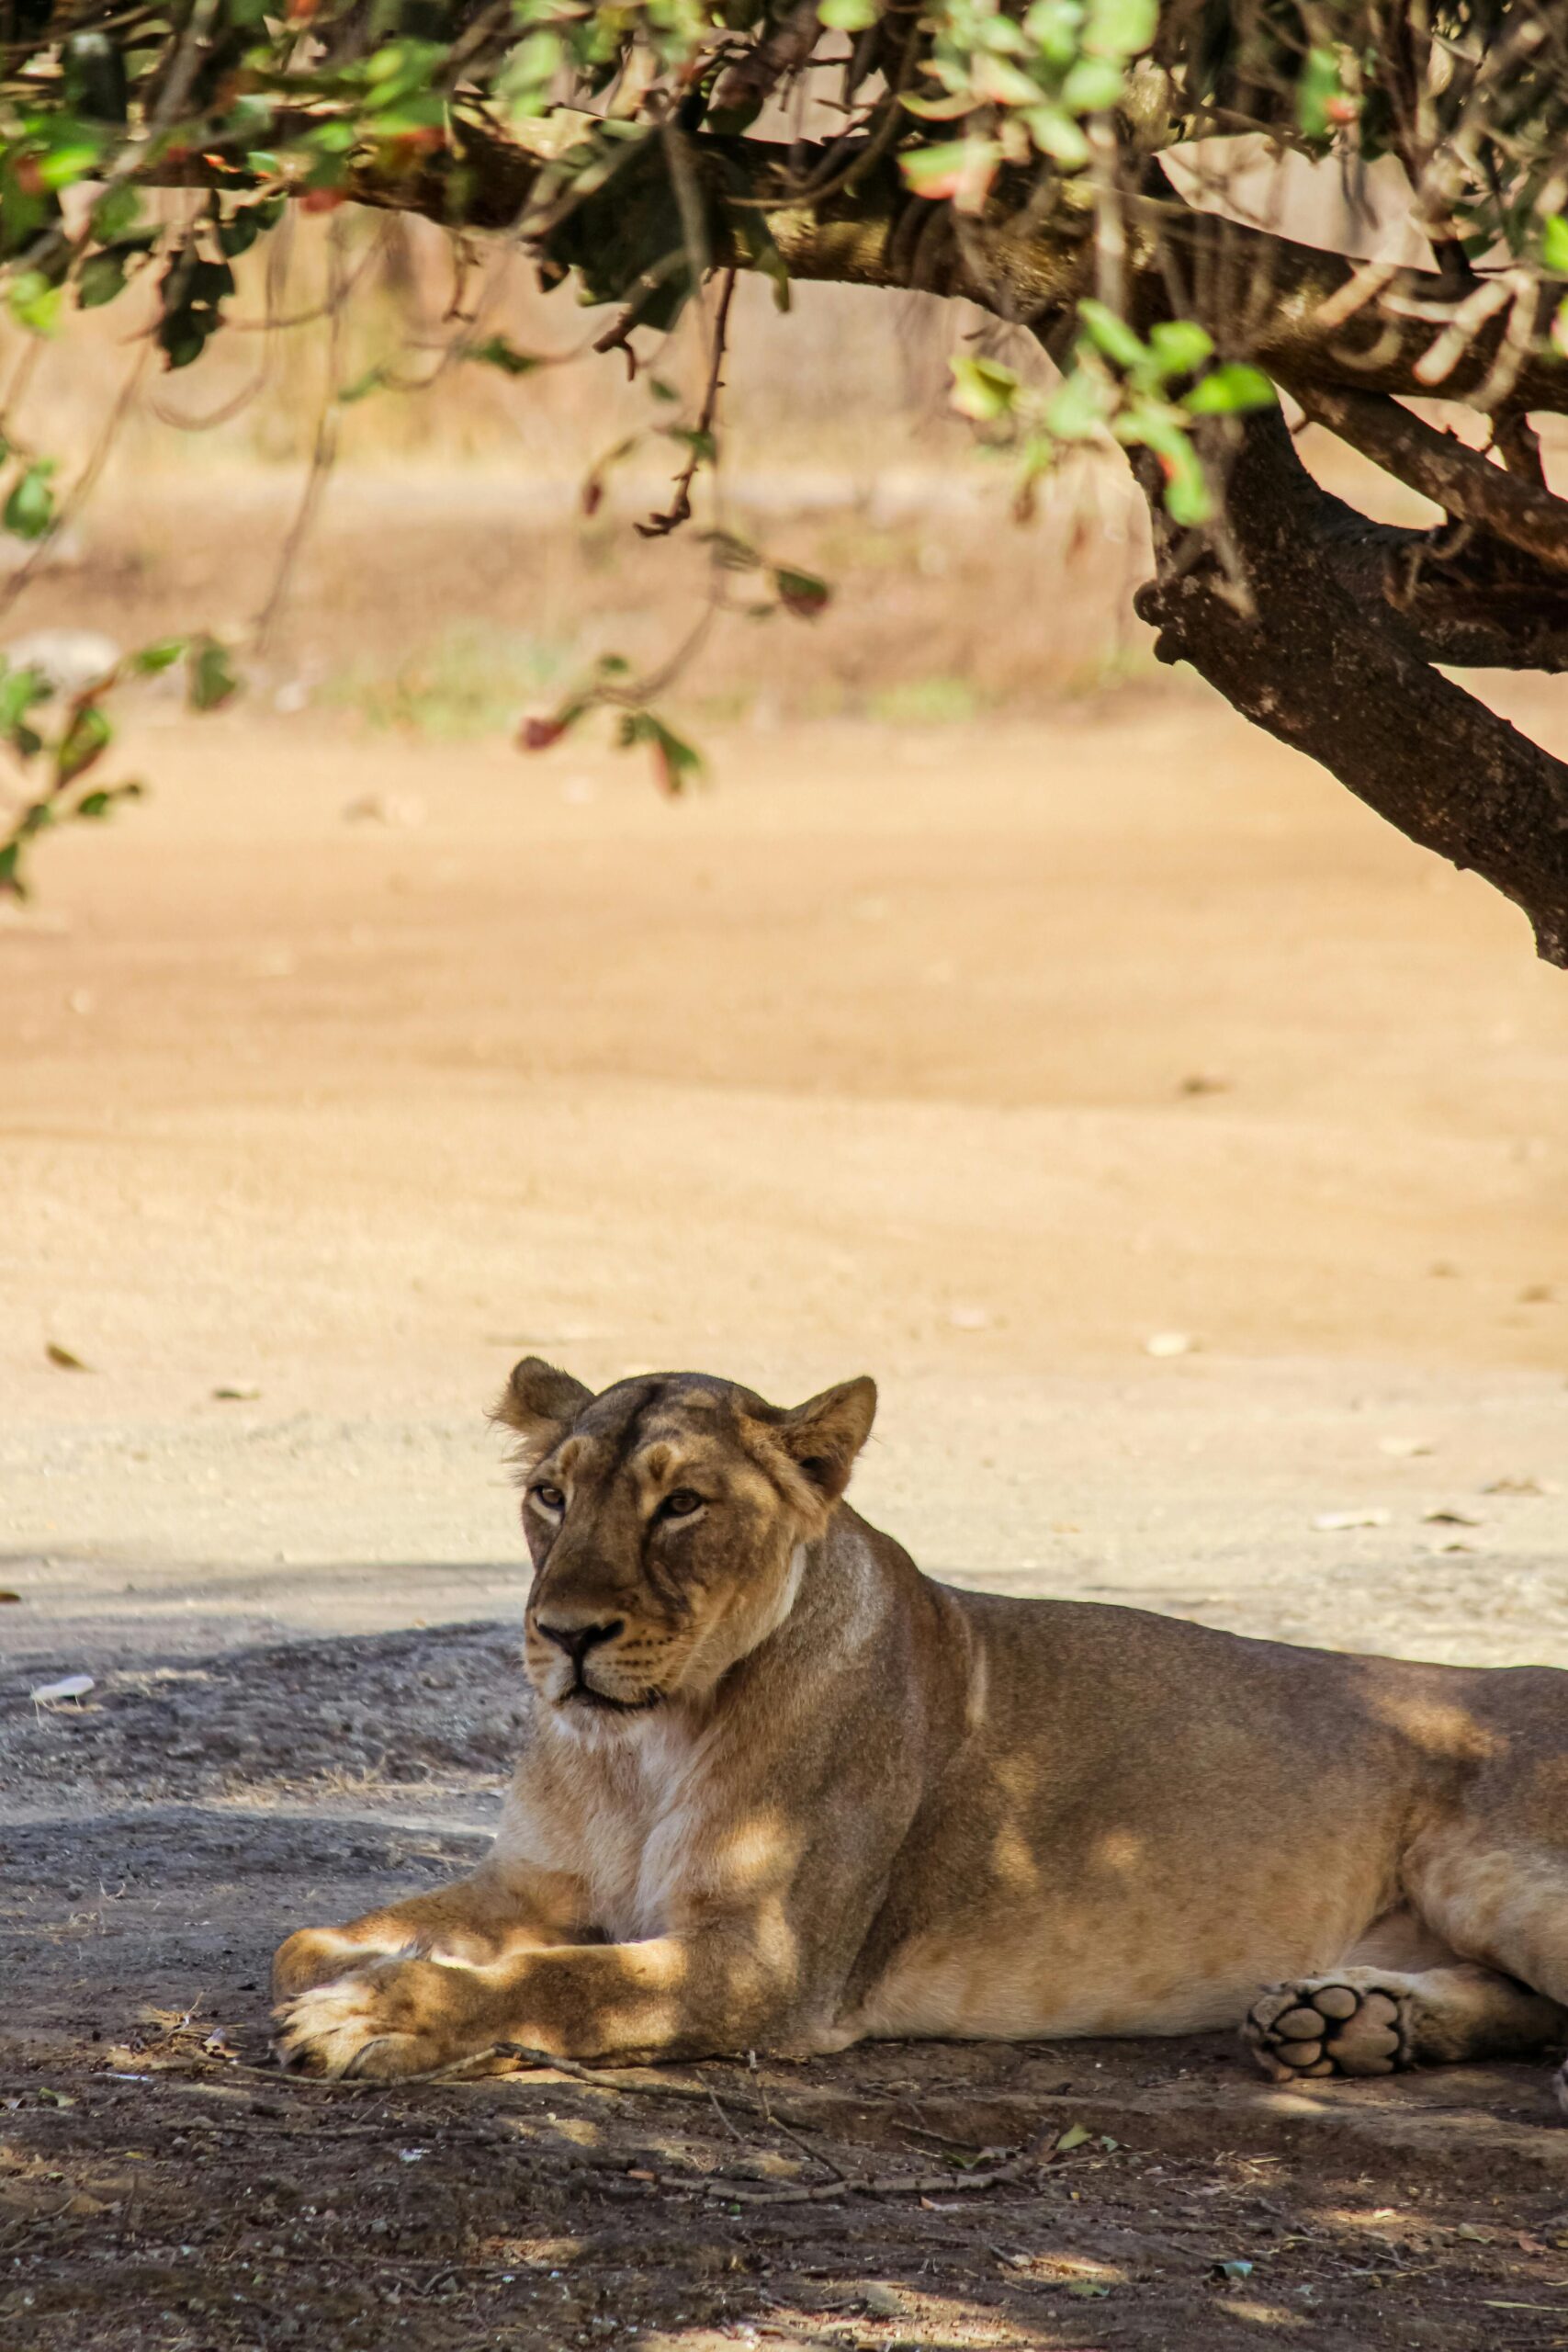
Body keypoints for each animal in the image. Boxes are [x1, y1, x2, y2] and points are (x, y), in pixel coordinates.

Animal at [274, 1360, 1568, 2102]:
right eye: (552, 1493)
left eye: (683, 1501)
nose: (565, 1633)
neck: (645, 1745)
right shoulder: (536, 1880)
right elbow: (306, 1938)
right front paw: (358, 1965)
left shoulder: (770, 1964)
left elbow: (561, 1980)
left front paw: (378, 2009)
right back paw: (1351, 2025)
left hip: (1500, 1872)